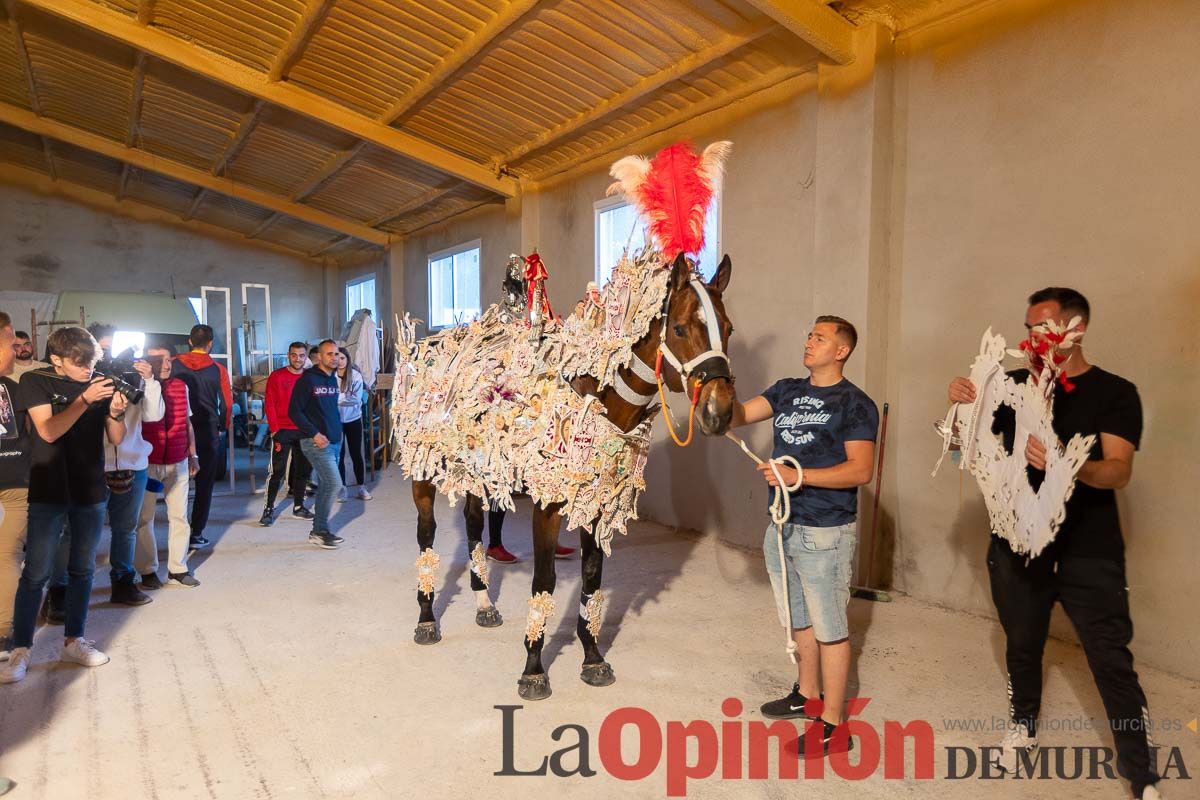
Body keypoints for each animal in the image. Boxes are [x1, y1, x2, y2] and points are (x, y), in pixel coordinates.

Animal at [388, 143, 734, 700]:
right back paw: (426, 618)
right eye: (681, 328)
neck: (594, 397)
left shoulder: (597, 503)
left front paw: (592, 656)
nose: (720, 411)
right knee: (427, 538)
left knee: (474, 529)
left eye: (728, 327)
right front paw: (534, 667)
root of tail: (424, 348)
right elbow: (545, 582)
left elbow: (592, 581)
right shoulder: (548, 506)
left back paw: (483, 603)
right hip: (424, 471)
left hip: (478, 474)